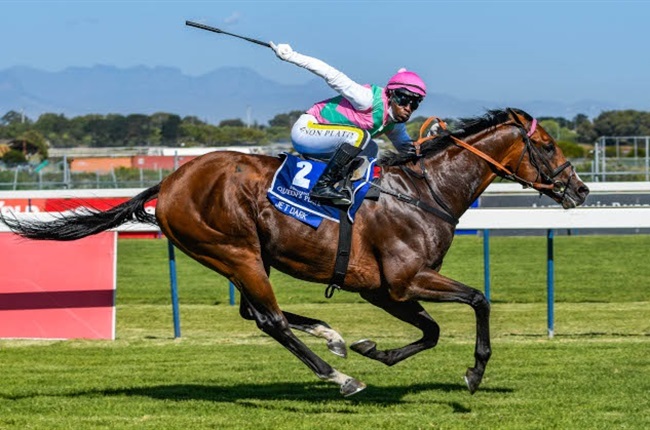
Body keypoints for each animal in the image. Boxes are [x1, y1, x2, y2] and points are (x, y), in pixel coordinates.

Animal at [0, 107, 588, 396]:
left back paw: (334, 339)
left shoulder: (382, 289)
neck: (425, 192)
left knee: (257, 312)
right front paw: (474, 372)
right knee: (271, 319)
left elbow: (432, 330)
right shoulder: (404, 279)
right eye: (548, 145)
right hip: (232, 249)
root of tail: (168, 182)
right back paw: (339, 377)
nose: (580, 190)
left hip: (241, 257)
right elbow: (478, 301)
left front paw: (375, 348)